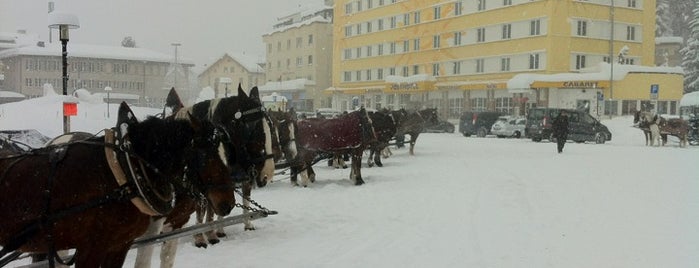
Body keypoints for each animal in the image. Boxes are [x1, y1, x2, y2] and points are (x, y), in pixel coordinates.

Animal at [0, 102, 235, 268]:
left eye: (229, 151)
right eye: (207, 155)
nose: (228, 203)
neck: (129, 170)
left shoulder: (122, 244)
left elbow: (165, 259)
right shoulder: (92, 248)